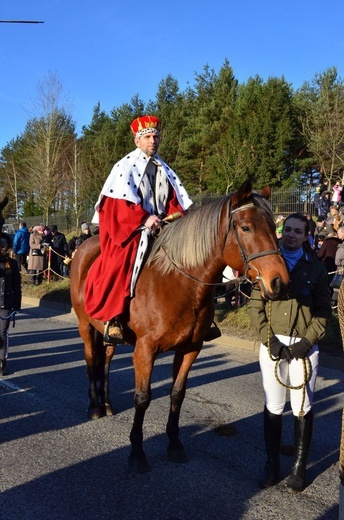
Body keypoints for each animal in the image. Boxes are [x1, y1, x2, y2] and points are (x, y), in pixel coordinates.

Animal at [69, 179, 288, 472]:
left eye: (274, 227)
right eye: (246, 227)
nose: (279, 281)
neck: (179, 282)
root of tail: (84, 247)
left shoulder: (190, 348)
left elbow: (177, 394)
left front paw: (174, 444)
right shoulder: (145, 350)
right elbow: (142, 397)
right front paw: (136, 452)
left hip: (107, 336)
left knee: (105, 359)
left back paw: (105, 402)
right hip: (85, 325)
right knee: (91, 358)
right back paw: (94, 406)